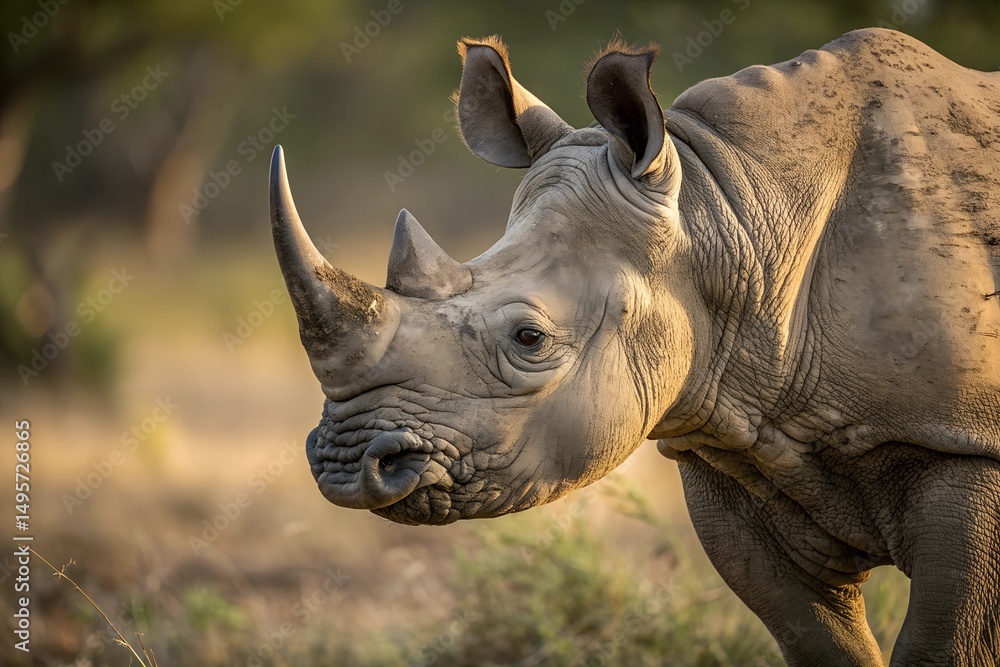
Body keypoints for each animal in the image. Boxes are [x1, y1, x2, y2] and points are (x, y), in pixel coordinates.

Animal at [268, 28, 1000, 665]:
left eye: (529, 337)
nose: (344, 464)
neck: (727, 206)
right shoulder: (730, 441)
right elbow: (817, 642)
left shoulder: (963, 441)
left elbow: (943, 645)